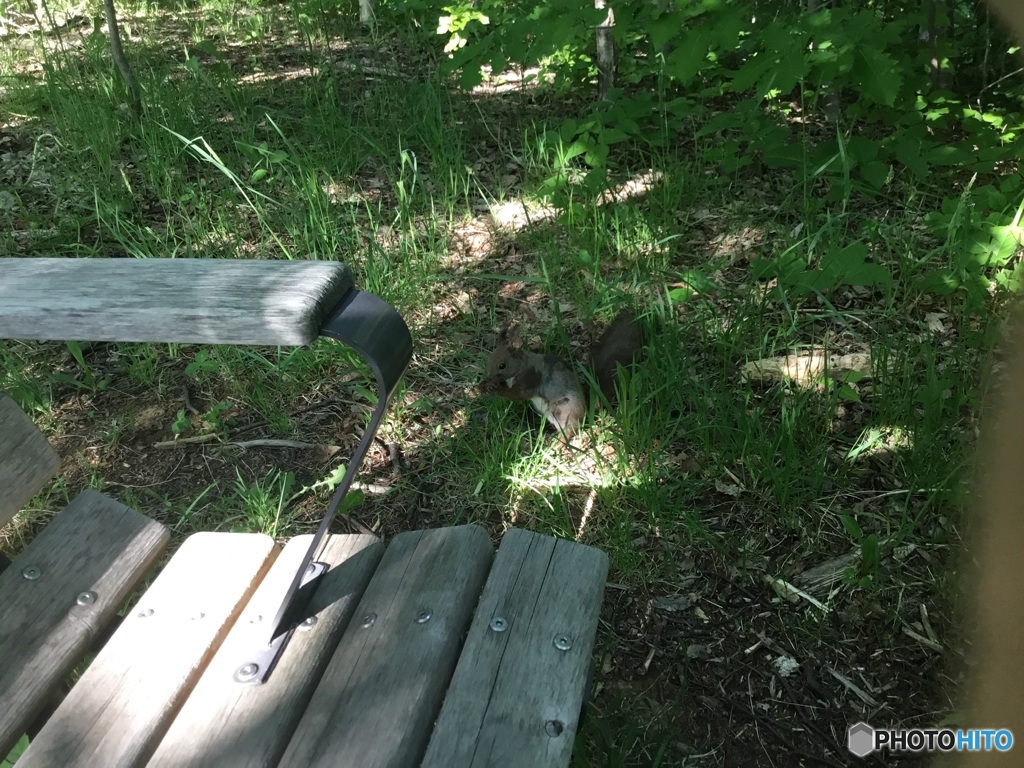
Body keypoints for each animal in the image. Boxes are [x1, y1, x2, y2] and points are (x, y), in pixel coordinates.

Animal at [481, 309, 643, 438]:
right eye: (489, 360)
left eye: (502, 365)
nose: (489, 377)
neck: (522, 366)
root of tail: (587, 409)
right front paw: (484, 385)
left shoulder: (530, 378)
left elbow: (517, 394)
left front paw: (494, 388)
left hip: (561, 410)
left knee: (571, 430)